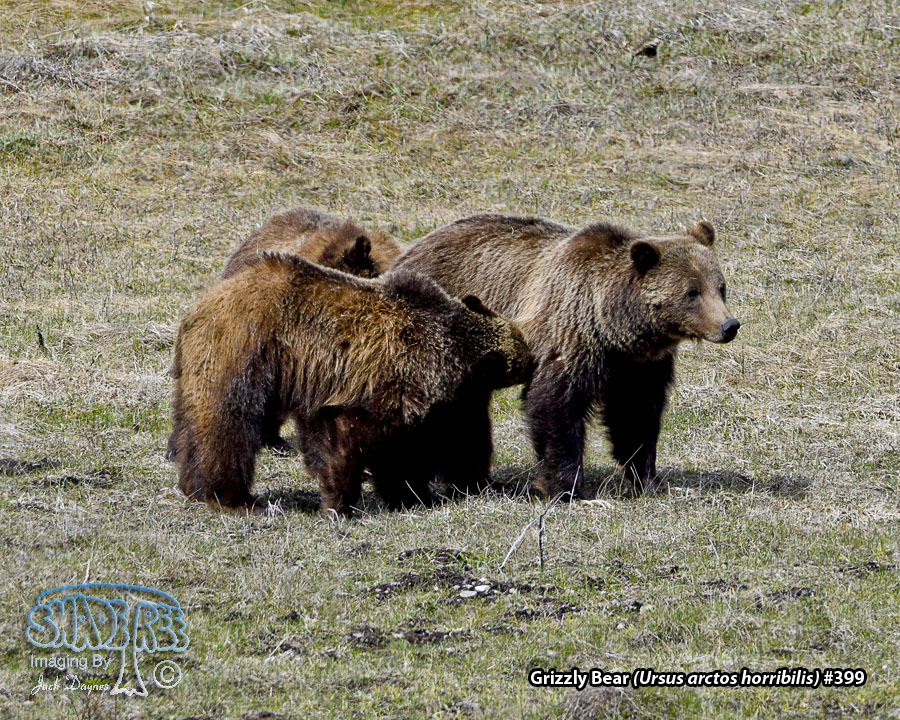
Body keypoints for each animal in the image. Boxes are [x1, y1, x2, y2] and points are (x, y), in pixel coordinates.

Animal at [168, 252, 531, 515]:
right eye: (524, 351)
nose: (533, 364)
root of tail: (201, 305)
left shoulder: (453, 401)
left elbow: (458, 440)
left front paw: (430, 490)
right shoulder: (388, 380)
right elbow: (352, 437)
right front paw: (340, 503)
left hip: (201, 368)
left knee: (192, 421)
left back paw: (193, 484)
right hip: (245, 352)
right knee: (228, 424)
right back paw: (233, 497)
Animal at [391, 214, 740, 500]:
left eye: (720, 287)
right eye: (692, 292)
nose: (729, 325)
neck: (614, 326)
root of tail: (402, 257)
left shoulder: (639, 365)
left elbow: (636, 415)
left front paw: (649, 480)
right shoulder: (568, 332)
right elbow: (556, 407)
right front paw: (565, 488)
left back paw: (476, 482)